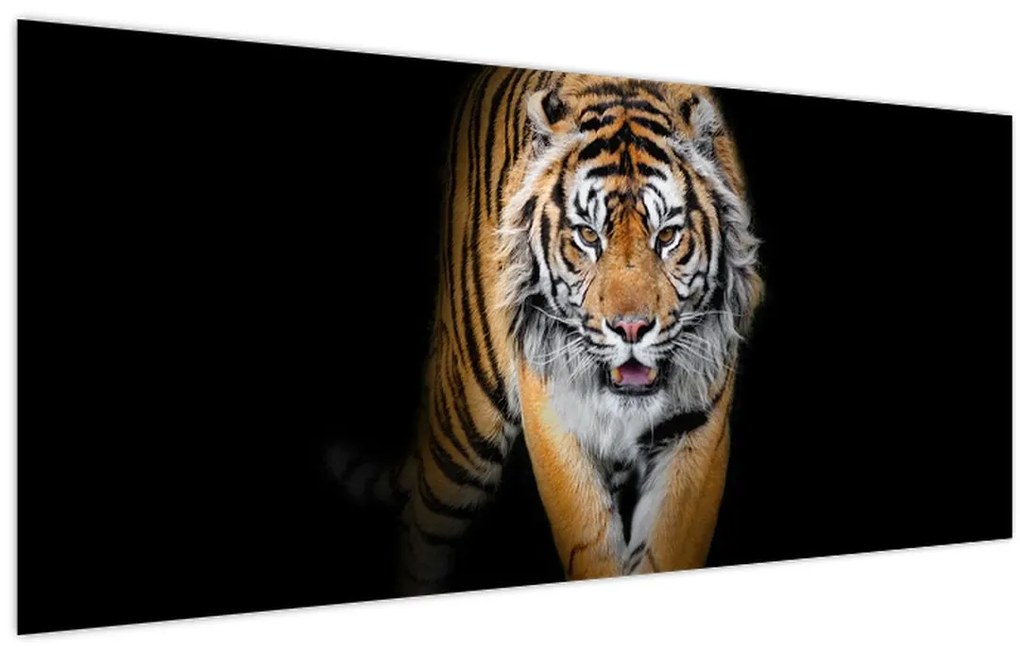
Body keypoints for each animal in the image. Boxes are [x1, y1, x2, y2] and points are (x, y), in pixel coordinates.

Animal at [329, 67, 763, 594]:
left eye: (667, 236)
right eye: (589, 236)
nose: (631, 327)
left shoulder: (699, 424)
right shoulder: (554, 410)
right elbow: (589, 543)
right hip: (465, 422)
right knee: (421, 528)